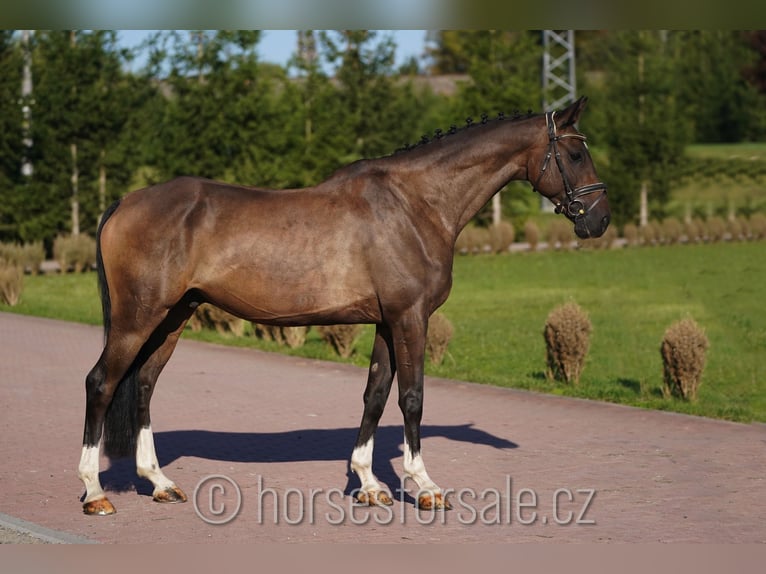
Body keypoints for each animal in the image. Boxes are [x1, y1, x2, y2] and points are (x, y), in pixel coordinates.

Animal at [75, 97, 608, 516]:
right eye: (575, 152)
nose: (599, 220)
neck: (415, 204)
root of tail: (126, 201)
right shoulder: (410, 318)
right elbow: (411, 397)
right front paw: (425, 487)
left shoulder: (386, 322)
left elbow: (374, 394)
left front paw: (369, 484)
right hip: (138, 318)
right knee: (101, 383)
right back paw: (95, 493)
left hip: (174, 316)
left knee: (144, 384)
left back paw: (159, 483)